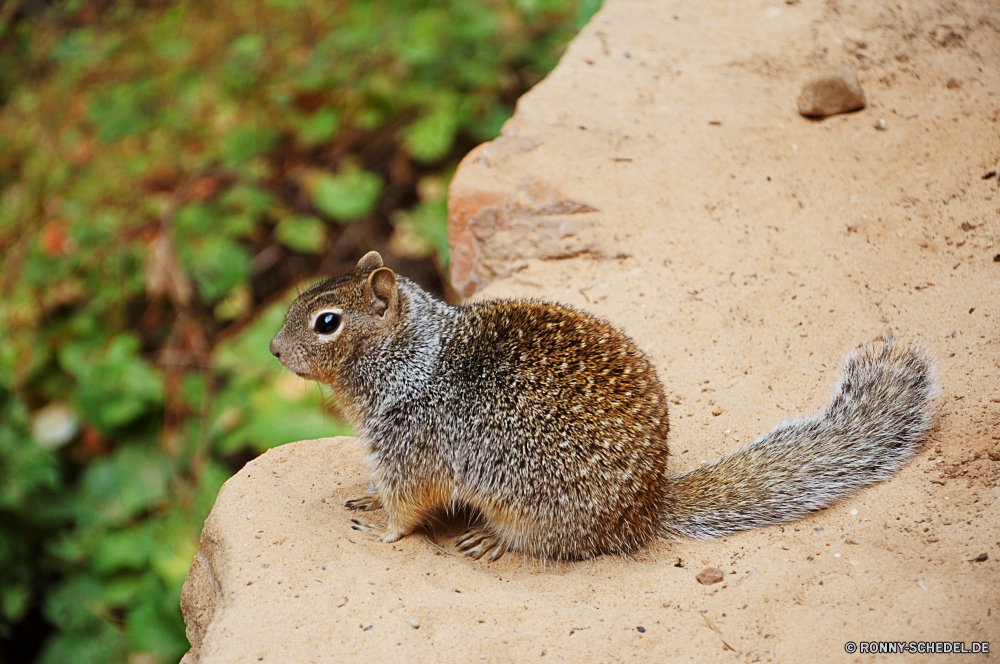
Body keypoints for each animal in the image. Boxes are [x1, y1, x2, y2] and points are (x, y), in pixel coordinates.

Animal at [268, 252, 936, 564]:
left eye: (326, 322)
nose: (273, 349)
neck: (413, 356)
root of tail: (645, 509)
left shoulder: (408, 444)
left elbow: (407, 506)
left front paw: (383, 528)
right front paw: (363, 497)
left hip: (524, 499)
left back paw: (491, 540)